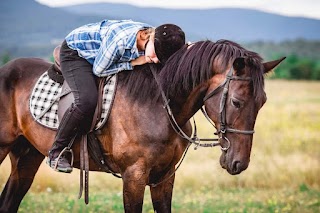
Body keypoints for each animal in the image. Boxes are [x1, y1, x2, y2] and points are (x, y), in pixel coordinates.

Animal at [0, 39, 284, 211]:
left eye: (262, 102)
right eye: (236, 102)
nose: (239, 163)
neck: (159, 104)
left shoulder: (164, 177)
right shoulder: (134, 177)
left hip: (27, 156)